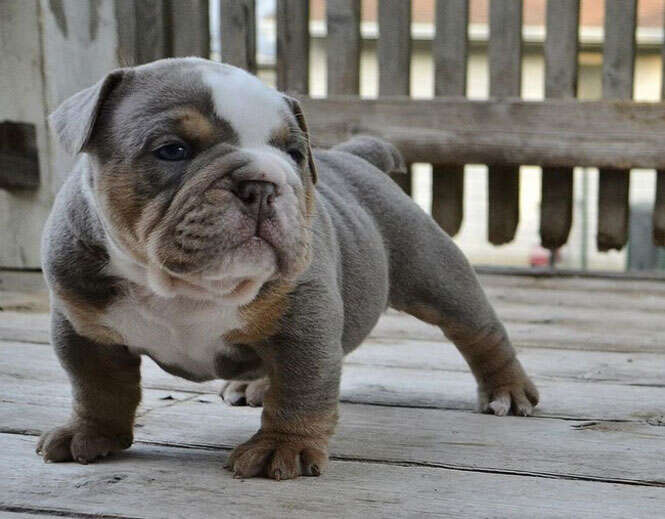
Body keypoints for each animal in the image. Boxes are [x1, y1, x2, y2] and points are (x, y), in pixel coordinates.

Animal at [36, 57, 536, 480]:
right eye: (172, 150)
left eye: (294, 153)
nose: (262, 183)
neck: (186, 287)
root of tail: (358, 157)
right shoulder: (82, 327)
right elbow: (97, 386)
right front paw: (91, 434)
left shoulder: (303, 322)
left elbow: (302, 386)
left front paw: (282, 447)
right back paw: (252, 386)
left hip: (435, 274)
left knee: (479, 331)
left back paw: (507, 391)